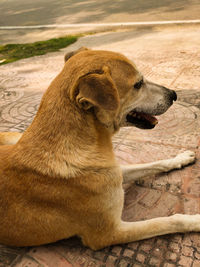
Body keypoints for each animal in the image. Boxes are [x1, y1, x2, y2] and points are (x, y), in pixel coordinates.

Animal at [0, 48, 198, 251]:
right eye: (138, 84)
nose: (174, 94)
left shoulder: (113, 172)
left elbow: (153, 164)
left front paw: (180, 158)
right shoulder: (108, 233)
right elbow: (169, 221)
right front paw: (195, 220)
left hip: (15, 137)